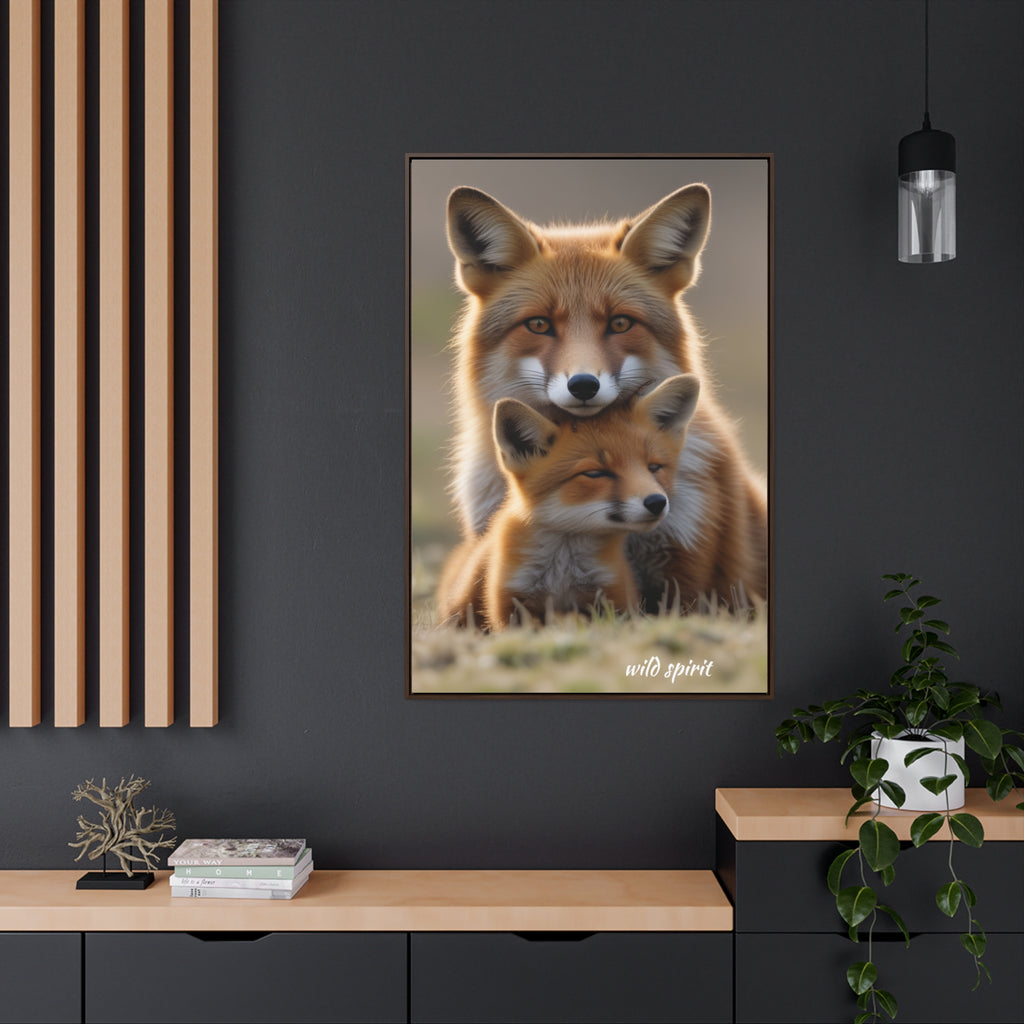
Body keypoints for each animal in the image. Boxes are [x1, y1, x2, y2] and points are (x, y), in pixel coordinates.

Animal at [436, 374, 700, 631]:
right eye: (595, 473)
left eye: (654, 467)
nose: (657, 502)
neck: (562, 572)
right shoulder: (511, 604)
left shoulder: (613, 596)